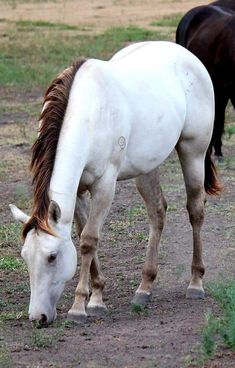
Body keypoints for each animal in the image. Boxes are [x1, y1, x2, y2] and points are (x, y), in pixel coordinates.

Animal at [10, 41, 221, 326]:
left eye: (52, 257)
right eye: (25, 256)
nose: (38, 317)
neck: (89, 114)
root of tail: (186, 55)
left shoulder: (104, 186)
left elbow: (88, 240)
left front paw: (80, 307)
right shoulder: (78, 191)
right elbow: (83, 233)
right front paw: (97, 296)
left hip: (193, 152)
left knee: (195, 210)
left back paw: (195, 282)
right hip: (146, 167)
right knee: (157, 212)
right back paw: (144, 288)